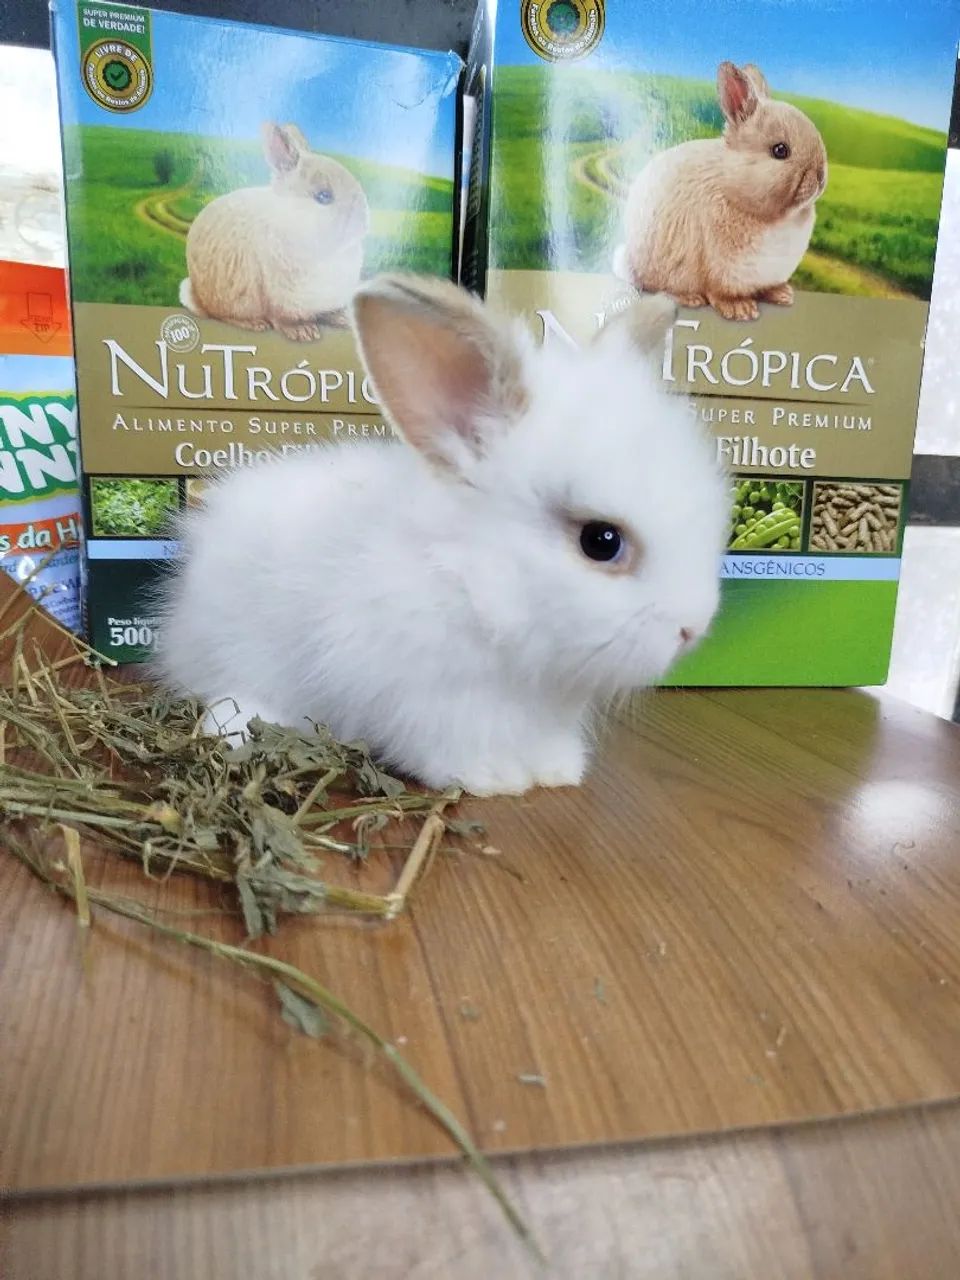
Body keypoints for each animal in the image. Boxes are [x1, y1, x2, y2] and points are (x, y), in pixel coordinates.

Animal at [153, 274, 729, 797]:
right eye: (600, 541)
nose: (694, 628)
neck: (474, 582)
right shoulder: (425, 701)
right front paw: (495, 780)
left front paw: (556, 772)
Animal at [179, 122, 370, 341]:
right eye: (323, 196)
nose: (364, 222)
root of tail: (196, 295)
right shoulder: (278, 296)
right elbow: (281, 317)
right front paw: (302, 331)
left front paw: (343, 319)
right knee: (220, 314)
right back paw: (254, 324)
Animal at [613, 62, 827, 322]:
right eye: (780, 150)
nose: (820, 176)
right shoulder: (720, 270)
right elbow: (719, 293)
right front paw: (740, 310)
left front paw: (782, 294)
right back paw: (691, 299)